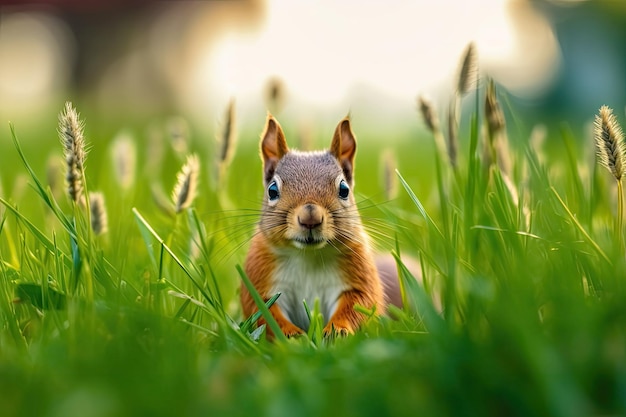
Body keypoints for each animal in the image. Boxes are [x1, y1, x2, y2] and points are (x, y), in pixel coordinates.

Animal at [239, 114, 400, 338]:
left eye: (344, 189)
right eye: (272, 190)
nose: (310, 218)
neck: (309, 256)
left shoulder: (358, 277)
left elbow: (361, 303)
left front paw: (337, 330)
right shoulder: (260, 278)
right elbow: (263, 313)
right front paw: (290, 334)